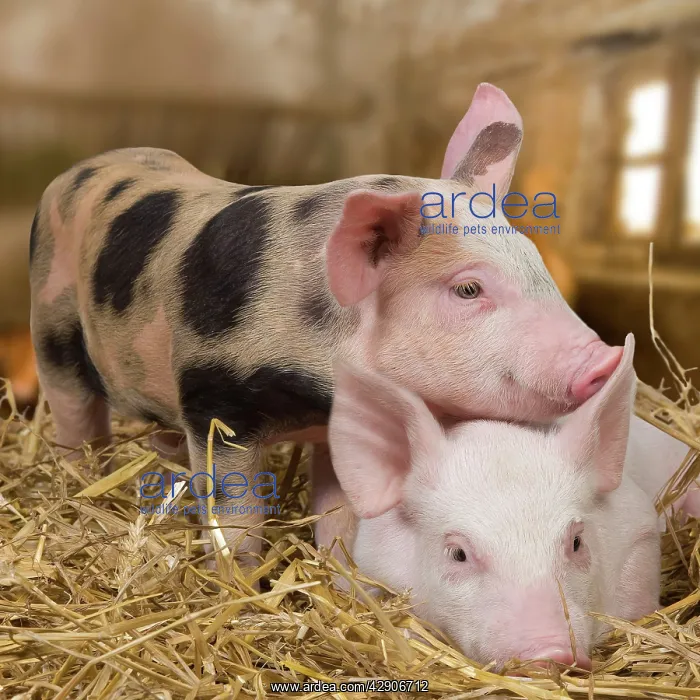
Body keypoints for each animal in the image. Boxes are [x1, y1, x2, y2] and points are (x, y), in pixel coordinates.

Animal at [28, 83, 623, 568]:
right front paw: (242, 584)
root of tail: (78, 169)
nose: (607, 358)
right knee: (75, 414)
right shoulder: (214, 399)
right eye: (468, 289)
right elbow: (236, 518)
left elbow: (342, 517)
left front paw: (343, 578)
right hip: (50, 327)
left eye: (536, 261)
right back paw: (82, 479)